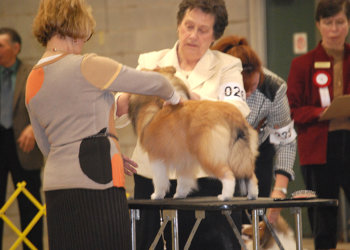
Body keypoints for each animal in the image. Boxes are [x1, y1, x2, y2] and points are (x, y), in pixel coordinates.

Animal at [129, 67, 260, 201]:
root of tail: (233, 116)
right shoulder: (185, 158)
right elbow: (184, 179)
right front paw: (180, 194)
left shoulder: (156, 157)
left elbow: (159, 179)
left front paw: (157, 195)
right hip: (242, 155)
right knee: (251, 176)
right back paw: (252, 195)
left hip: (209, 156)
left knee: (228, 175)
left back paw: (225, 196)